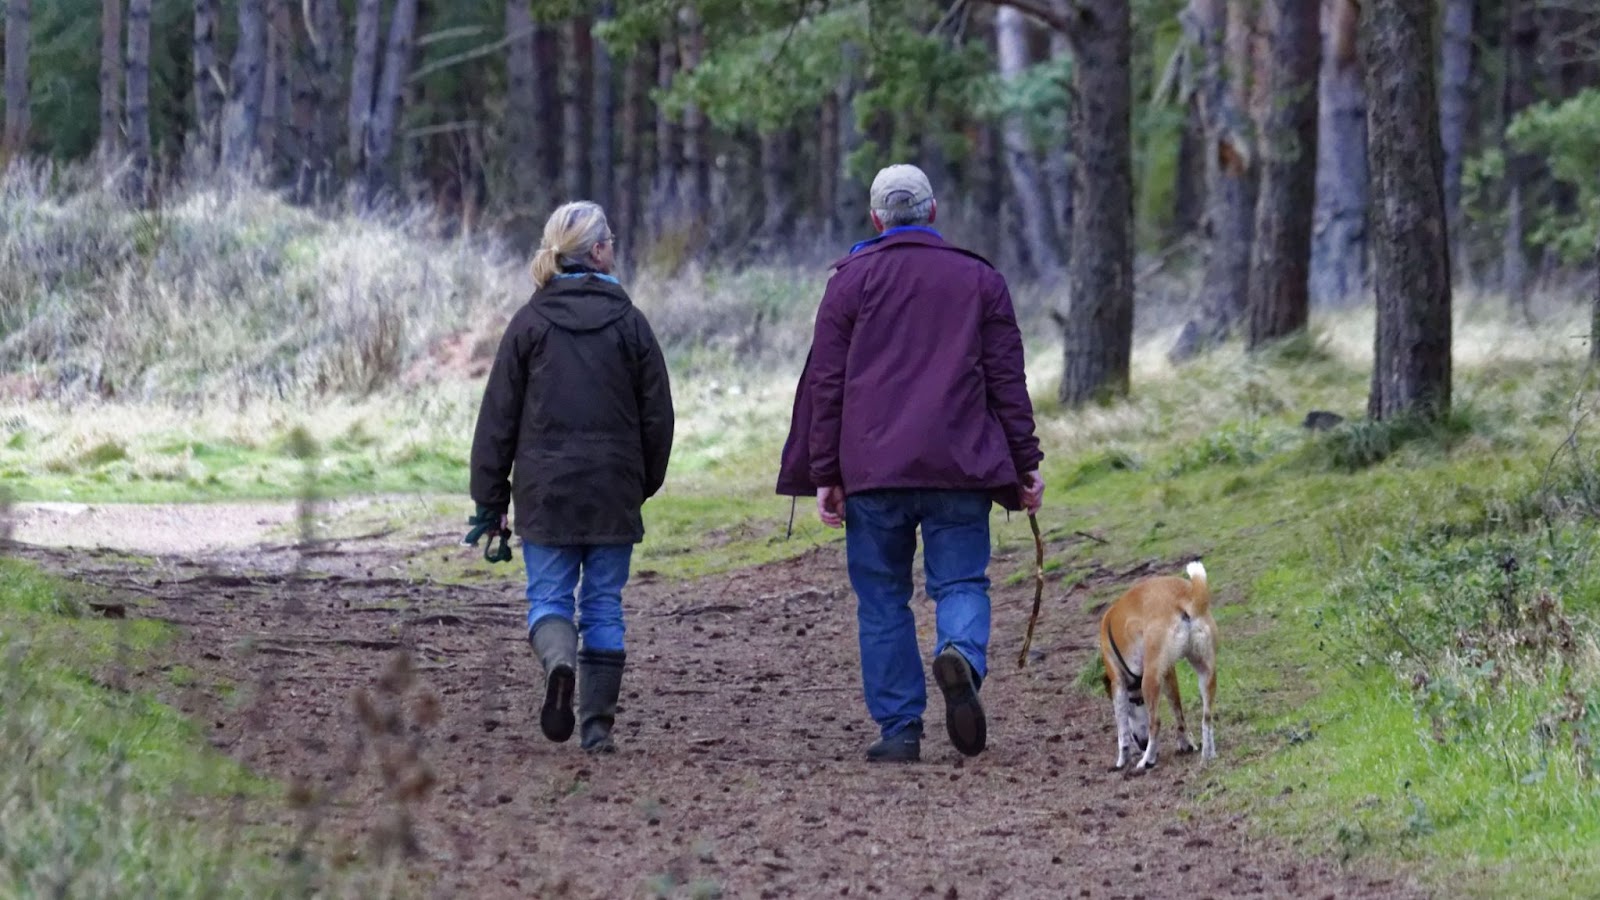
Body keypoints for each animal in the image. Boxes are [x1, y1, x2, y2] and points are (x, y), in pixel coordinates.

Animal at [1100, 557, 1209, 768]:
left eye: (1136, 702)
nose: (1142, 744)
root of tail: (1179, 599)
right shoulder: (1168, 673)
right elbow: (1177, 712)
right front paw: (1186, 743)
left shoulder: (1117, 682)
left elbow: (1122, 730)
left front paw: (1122, 760)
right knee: (1185, 714)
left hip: (1150, 679)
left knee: (1155, 723)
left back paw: (1147, 760)